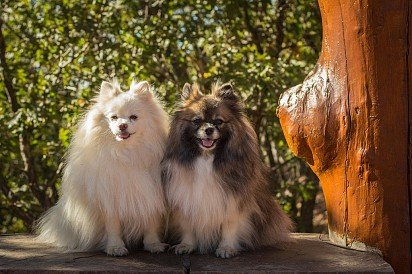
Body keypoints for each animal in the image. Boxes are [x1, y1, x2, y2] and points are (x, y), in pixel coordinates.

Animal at [35, 79, 170, 256]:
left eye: (133, 117)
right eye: (114, 117)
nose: (122, 126)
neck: (127, 153)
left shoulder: (151, 196)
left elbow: (151, 224)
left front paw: (153, 244)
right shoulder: (110, 198)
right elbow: (113, 227)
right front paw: (115, 247)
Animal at [161, 82, 292, 258]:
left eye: (218, 121)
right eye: (196, 121)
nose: (208, 129)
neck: (206, 157)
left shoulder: (233, 201)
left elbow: (230, 226)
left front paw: (226, 248)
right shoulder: (186, 200)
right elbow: (188, 227)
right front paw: (187, 245)